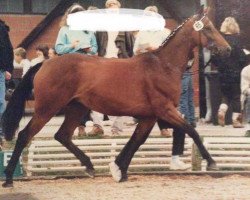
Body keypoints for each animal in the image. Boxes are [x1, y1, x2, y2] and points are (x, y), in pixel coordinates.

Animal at [1, 9, 230, 188]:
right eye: (208, 28)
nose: (227, 49)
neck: (163, 66)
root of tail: (46, 63)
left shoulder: (149, 116)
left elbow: (137, 140)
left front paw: (119, 169)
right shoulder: (164, 110)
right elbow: (191, 130)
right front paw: (213, 164)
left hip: (76, 108)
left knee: (63, 135)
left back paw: (90, 166)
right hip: (47, 109)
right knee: (25, 135)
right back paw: (9, 178)